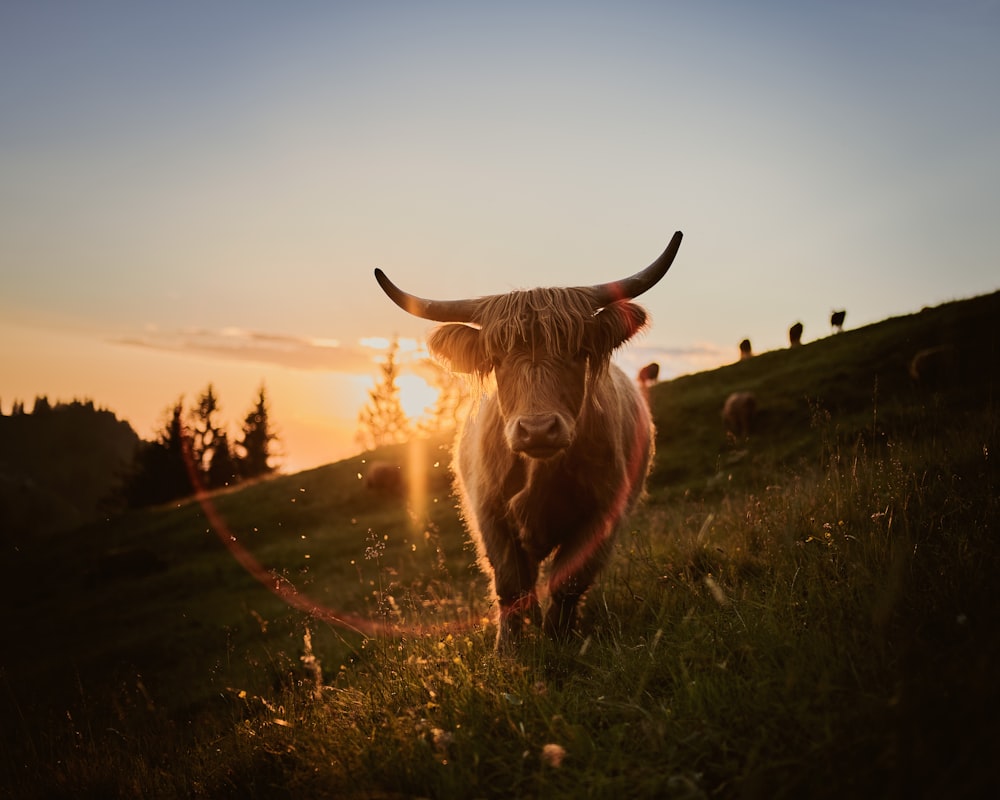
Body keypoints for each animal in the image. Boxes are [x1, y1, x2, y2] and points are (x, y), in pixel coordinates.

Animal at [372, 231, 684, 648]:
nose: (537, 429)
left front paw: (559, 640)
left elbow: (569, 581)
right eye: (497, 358)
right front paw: (510, 649)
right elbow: (510, 585)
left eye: (579, 351)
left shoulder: (602, 515)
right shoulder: (489, 513)